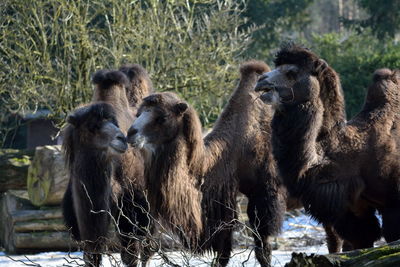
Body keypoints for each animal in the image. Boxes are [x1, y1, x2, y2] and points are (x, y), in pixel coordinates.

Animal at [125, 61, 284, 266]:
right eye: (138, 113)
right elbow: (222, 255)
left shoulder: (264, 196)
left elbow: (263, 252)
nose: (130, 133)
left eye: (162, 118)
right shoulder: (222, 208)